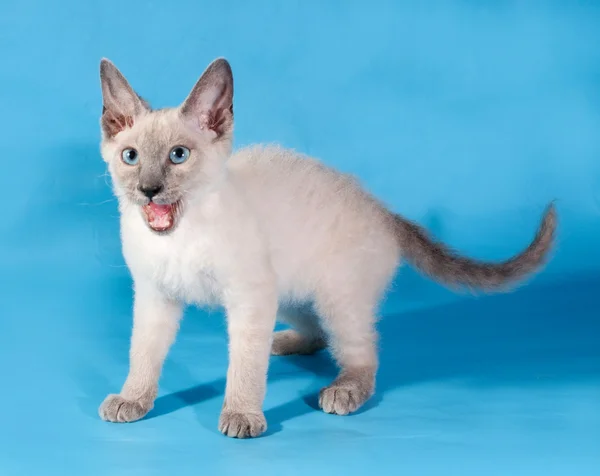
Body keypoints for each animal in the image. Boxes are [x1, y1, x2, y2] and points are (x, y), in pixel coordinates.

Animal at [95, 57, 556, 436]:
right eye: (131, 157)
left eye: (178, 155)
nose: (148, 190)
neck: (180, 236)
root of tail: (384, 212)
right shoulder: (155, 296)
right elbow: (144, 354)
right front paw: (132, 399)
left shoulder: (248, 295)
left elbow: (244, 366)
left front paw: (242, 414)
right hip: (290, 292)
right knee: (314, 330)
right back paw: (283, 342)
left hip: (337, 299)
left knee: (362, 353)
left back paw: (342, 390)